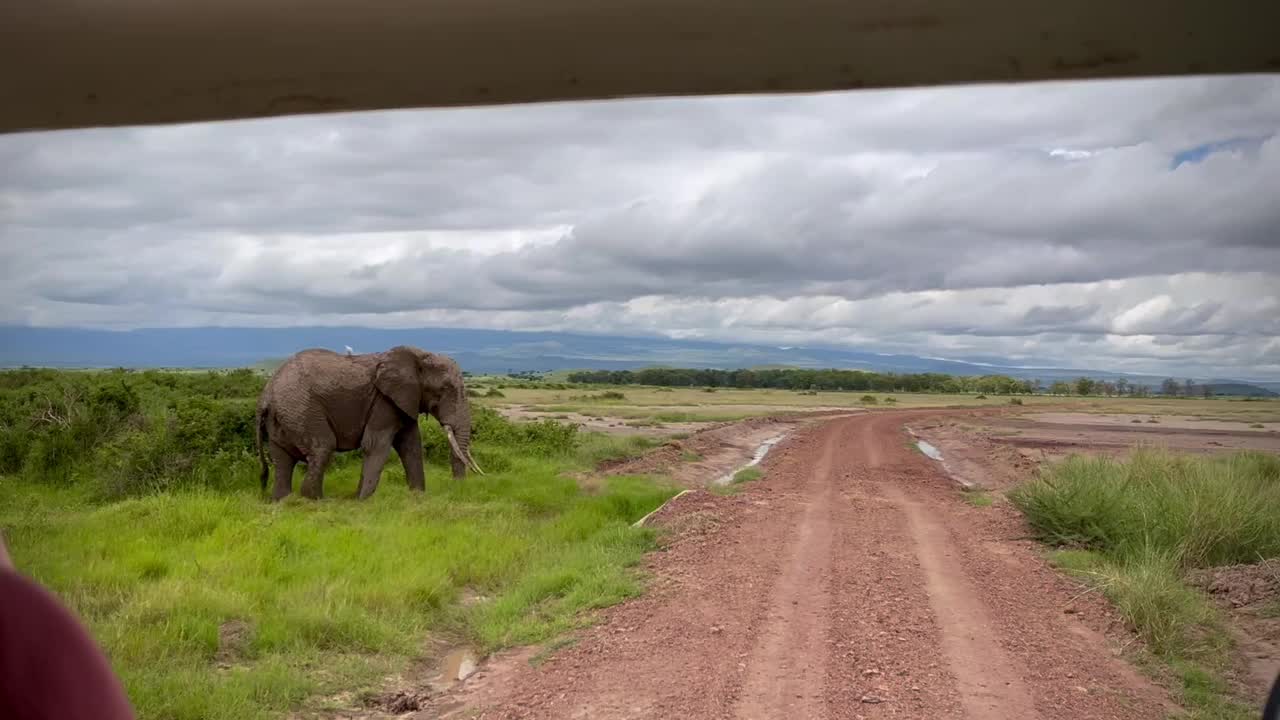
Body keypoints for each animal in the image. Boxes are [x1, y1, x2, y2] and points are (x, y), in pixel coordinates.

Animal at [254, 345, 483, 497]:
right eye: (444, 390)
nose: (458, 487)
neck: (419, 355)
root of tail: (266, 395)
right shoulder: (383, 401)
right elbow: (376, 444)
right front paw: (361, 500)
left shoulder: (403, 400)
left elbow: (411, 445)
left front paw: (417, 496)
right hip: (300, 408)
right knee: (322, 447)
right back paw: (314, 500)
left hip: (283, 416)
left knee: (282, 460)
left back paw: (283, 501)